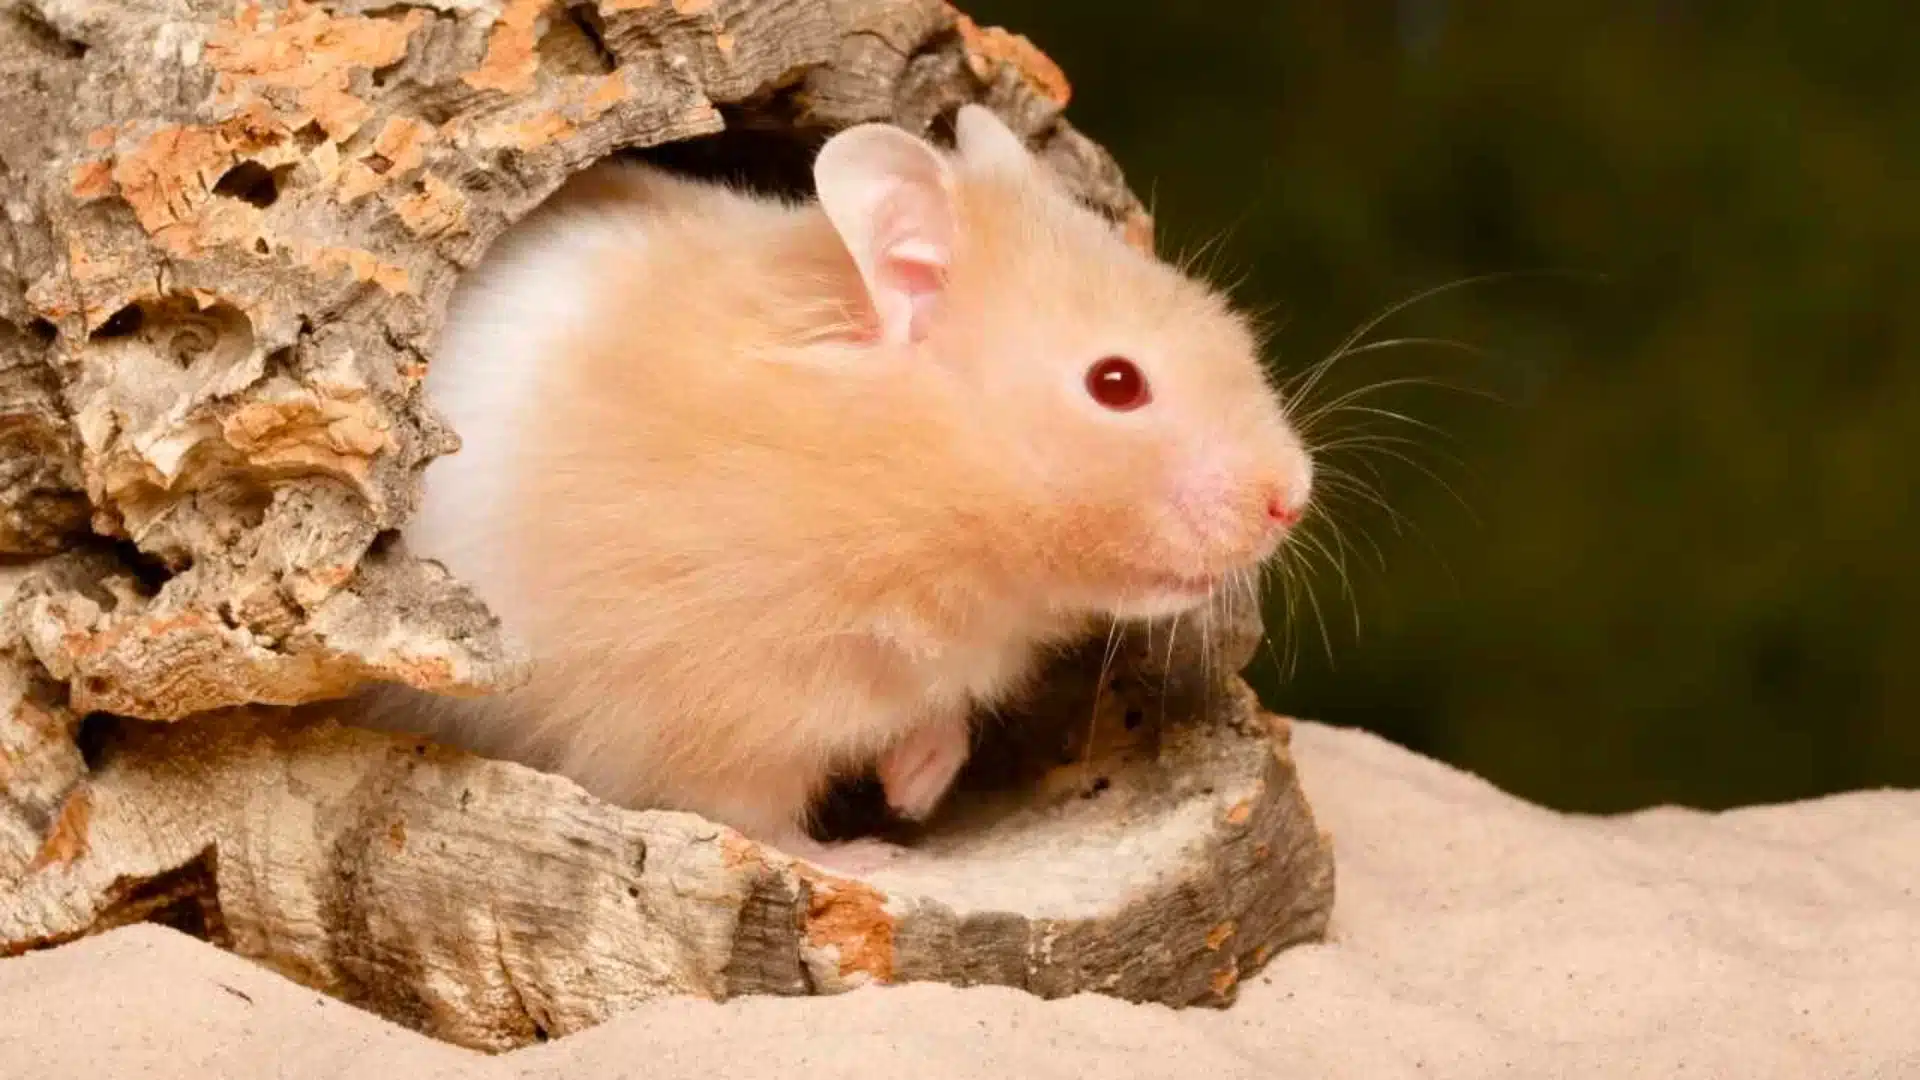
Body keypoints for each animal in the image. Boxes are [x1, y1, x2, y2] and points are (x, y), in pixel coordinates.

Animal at [362, 106, 1314, 871]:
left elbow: (936, 721)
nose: (1292, 499)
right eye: (1116, 384)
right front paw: (868, 856)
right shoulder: (704, 709)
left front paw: (915, 789)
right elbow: (754, 819)